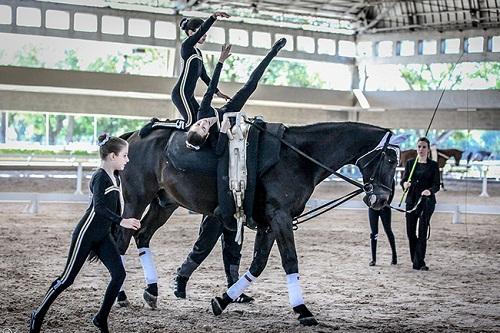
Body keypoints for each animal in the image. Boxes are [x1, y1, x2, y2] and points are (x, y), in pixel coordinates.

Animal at [115, 121, 400, 324]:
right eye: (388, 160)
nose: (382, 199)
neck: (298, 158)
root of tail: (133, 136)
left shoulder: (272, 222)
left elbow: (258, 264)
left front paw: (223, 300)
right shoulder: (280, 216)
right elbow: (290, 261)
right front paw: (302, 310)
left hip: (164, 203)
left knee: (143, 236)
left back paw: (152, 291)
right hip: (136, 199)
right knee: (121, 241)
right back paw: (121, 295)